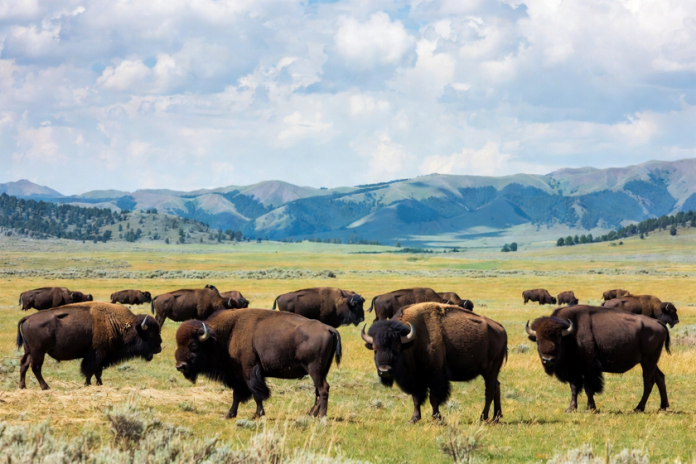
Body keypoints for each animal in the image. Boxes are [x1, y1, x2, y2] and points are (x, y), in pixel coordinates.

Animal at [17, 302, 161, 390]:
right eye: (151, 333)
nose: (159, 348)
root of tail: (27, 318)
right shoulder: (97, 353)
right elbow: (90, 370)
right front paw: (87, 384)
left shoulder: (103, 356)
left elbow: (98, 371)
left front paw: (99, 384)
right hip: (38, 352)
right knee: (35, 367)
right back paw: (45, 387)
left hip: (29, 351)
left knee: (24, 364)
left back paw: (22, 386)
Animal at [175, 308, 341, 419]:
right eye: (178, 344)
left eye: (194, 345)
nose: (180, 366)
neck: (227, 334)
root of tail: (328, 328)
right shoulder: (239, 376)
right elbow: (237, 395)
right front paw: (230, 414)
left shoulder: (249, 371)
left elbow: (256, 393)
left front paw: (257, 415)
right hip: (319, 371)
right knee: (318, 391)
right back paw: (311, 414)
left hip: (315, 370)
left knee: (323, 389)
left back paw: (321, 417)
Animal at [361, 302, 507, 423]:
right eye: (375, 349)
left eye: (397, 348)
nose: (384, 370)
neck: (412, 342)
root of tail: (501, 329)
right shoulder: (416, 379)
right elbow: (416, 399)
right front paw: (413, 419)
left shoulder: (435, 377)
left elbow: (434, 399)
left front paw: (436, 418)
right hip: (490, 372)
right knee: (497, 386)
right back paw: (496, 417)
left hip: (490, 370)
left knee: (490, 390)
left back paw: (483, 417)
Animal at [526, 305, 670, 412]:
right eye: (538, 341)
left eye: (559, 340)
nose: (548, 360)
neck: (571, 335)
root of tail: (658, 323)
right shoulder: (574, 370)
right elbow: (574, 388)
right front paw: (571, 408)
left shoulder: (589, 368)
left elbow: (589, 388)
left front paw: (590, 409)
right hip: (650, 362)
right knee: (660, 377)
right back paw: (662, 407)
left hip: (648, 361)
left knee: (648, 382)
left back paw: (638, 408)